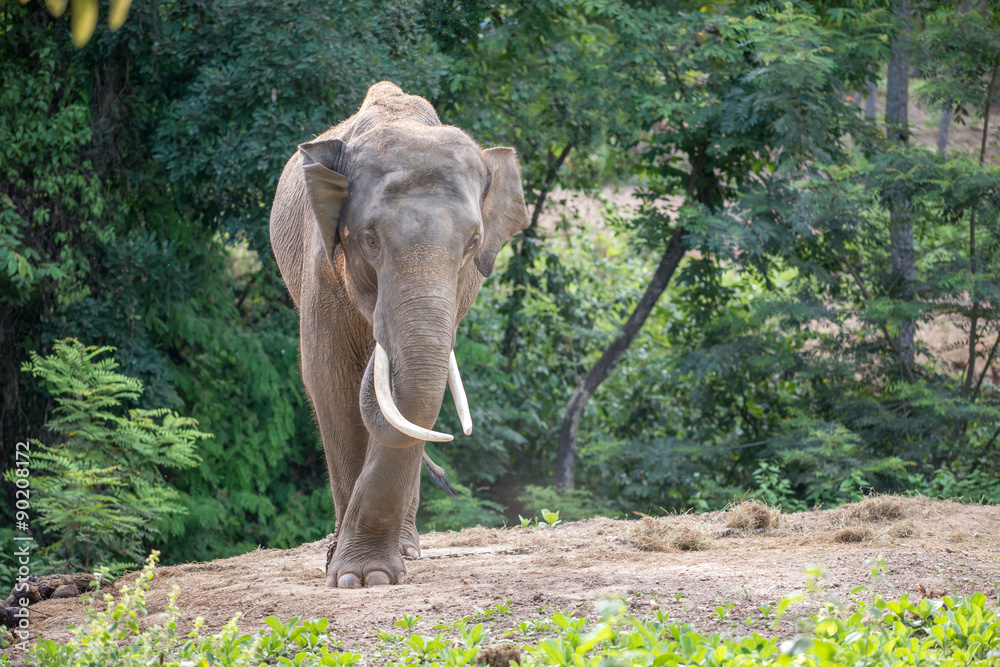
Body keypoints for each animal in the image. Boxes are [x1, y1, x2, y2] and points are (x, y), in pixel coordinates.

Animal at [266, 81, 532, 588]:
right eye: (369, 239)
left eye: (472, 244)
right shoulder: (320, 267)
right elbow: (329, 382)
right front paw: (351, 575)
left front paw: (370, 573)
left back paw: (407, 549)